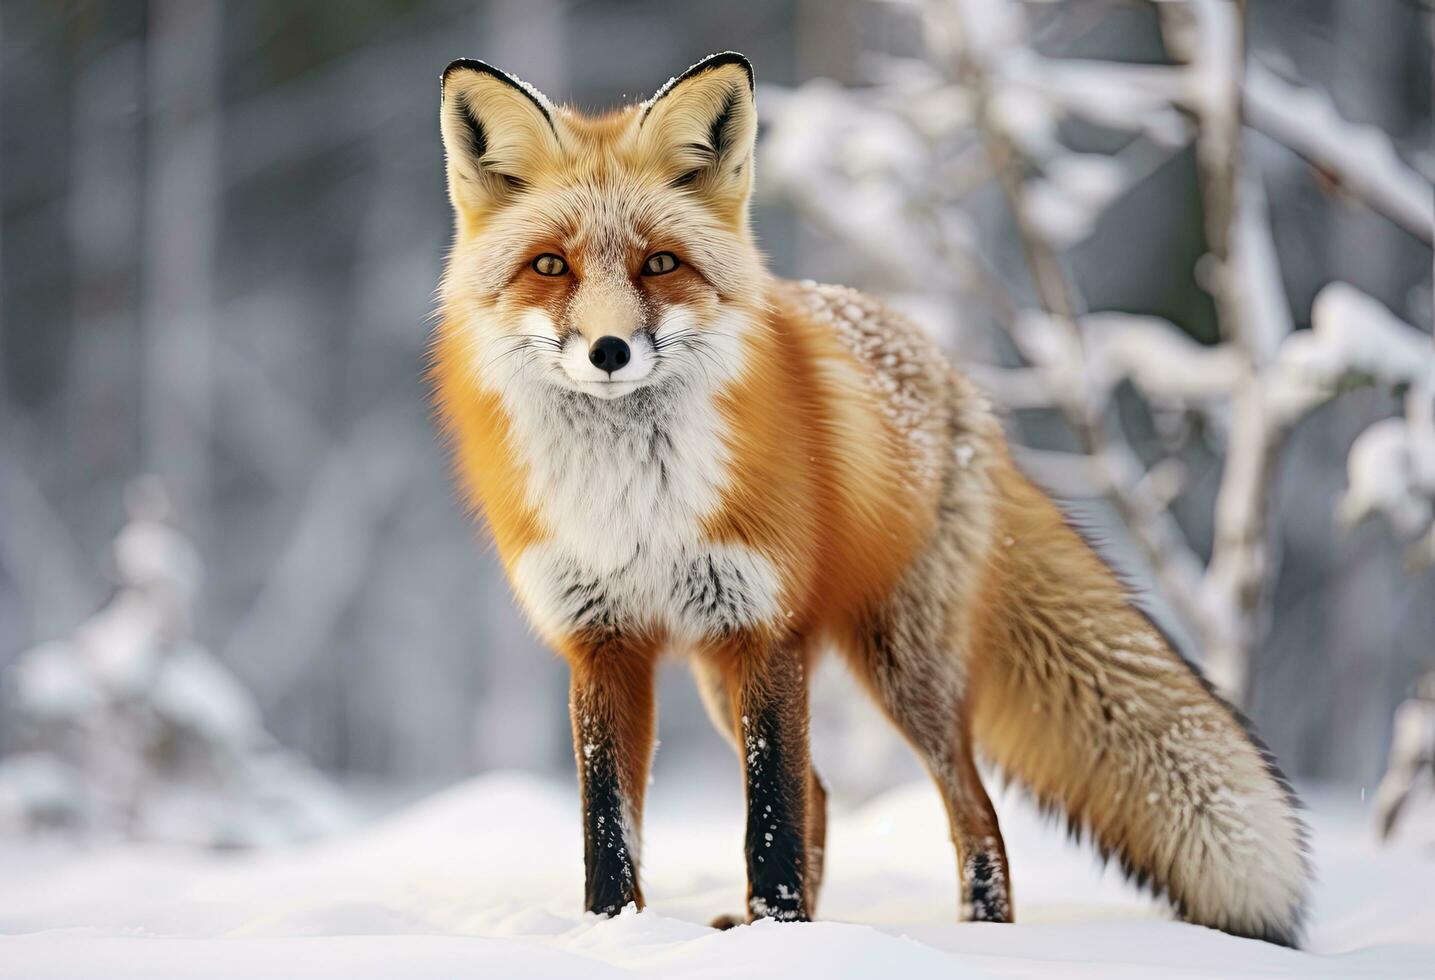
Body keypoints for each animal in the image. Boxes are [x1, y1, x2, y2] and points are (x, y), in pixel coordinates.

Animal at [427, 51, 1314, 941]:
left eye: (660, 263)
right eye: (550, 266)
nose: (608, 350)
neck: (632, 505)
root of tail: (963, 391)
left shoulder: (763, 630)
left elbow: (770, 823)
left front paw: (780, 936)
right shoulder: (602, 639)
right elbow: (609, 828)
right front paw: (617, 933)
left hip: (901, 668)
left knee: (972, 813)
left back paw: (978, 935)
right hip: (726, 675)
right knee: (823, 792)